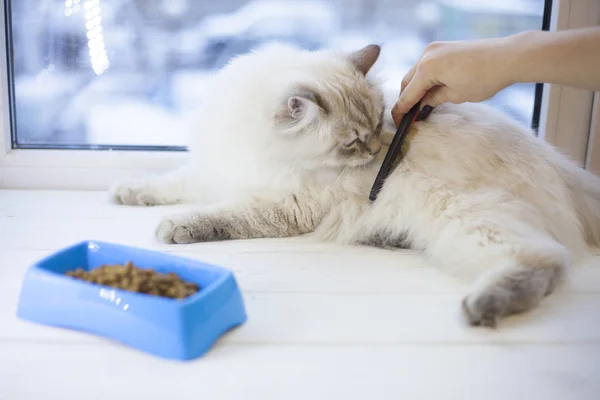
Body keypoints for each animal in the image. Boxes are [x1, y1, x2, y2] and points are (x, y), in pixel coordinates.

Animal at [111, 42, 600, 326]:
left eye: (379, 123)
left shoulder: (289, 203)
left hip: (466, 219)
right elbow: (170, 183)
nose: (376, 151)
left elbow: (222, 215)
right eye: (352, 141)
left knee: (546, 260)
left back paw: (484, 306)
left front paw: (175, 227)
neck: (258, 149)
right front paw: (127, 193)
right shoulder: (219, 171)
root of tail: (563, 168)